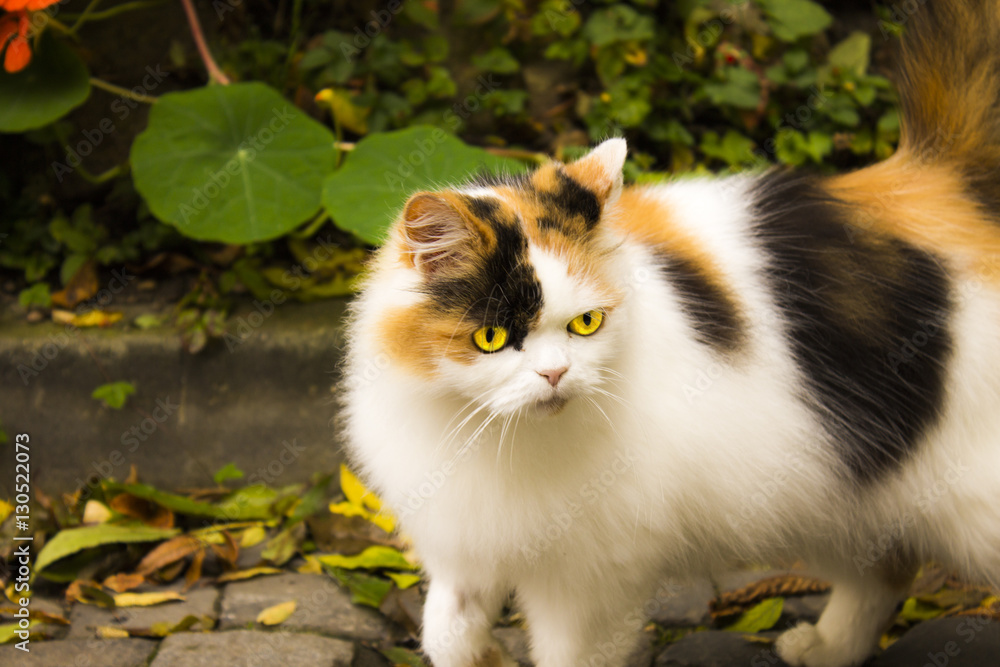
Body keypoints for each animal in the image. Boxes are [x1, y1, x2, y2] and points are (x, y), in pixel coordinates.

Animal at [342, 2, 1000, 664]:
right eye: (491, 339)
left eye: (586, 324)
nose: (555, 374)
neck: (491, 436)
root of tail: (927, 185)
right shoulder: (467, 545)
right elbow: (446, 632)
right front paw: (485, 655)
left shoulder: (589, 582)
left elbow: (570, 653)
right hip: (837, 482)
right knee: (885, 567)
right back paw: (828, 648)